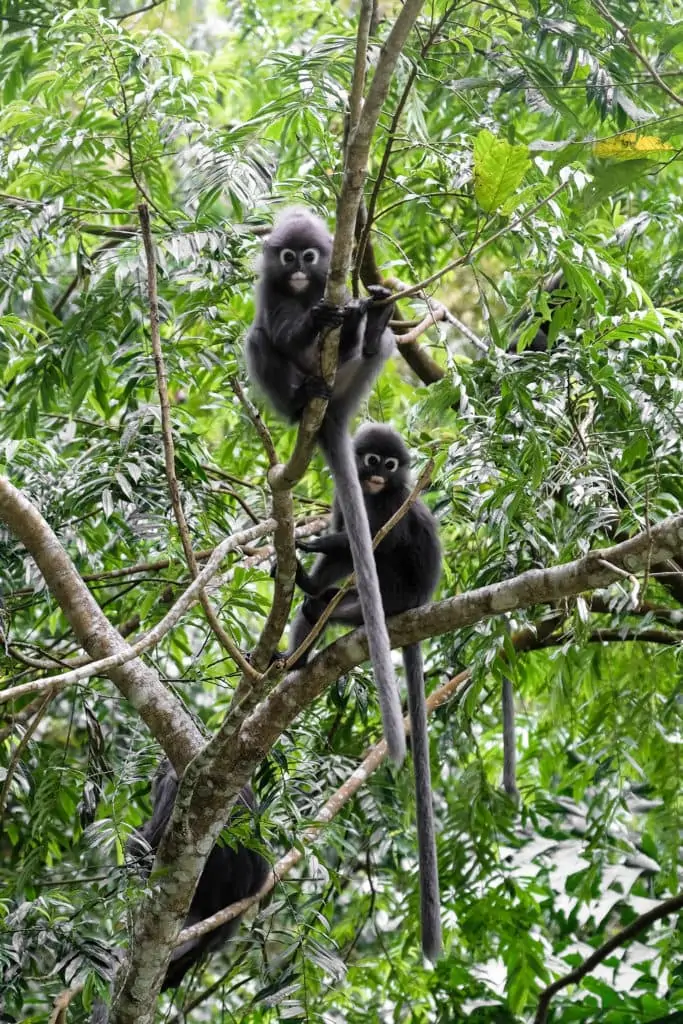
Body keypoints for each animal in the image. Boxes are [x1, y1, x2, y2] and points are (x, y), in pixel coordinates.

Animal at [288, 421, 444, 958]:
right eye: (372, 459)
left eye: (391, 465)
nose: (378, 474)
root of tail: (420, 604)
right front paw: (308, 564)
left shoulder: (391, 504)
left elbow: (371, 545)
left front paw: (316, 546)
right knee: (324, 601)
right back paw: (295, 650)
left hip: (396, 594)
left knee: (372, 568)